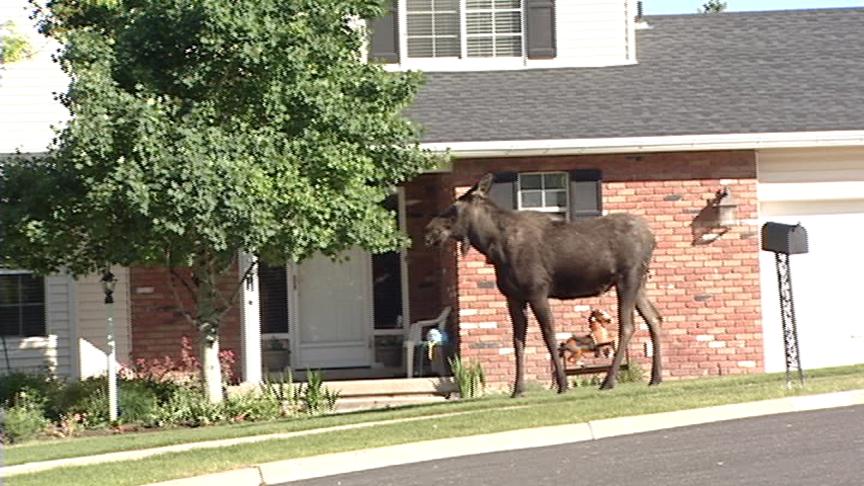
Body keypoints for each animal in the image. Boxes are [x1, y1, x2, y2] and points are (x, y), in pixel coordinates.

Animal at [426, 174, 660, 394]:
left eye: (452, 209)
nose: (429, 232)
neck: (494, 247)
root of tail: (653, 238)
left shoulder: (537, 291)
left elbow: (549, 334)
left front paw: (562, 384)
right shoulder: (513, 296)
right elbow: (517, 340)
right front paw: (518, 389)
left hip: (628, 278)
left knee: (628, 326)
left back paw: (609, 381)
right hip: (640, 283)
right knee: (654, 319)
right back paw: (655, 377)